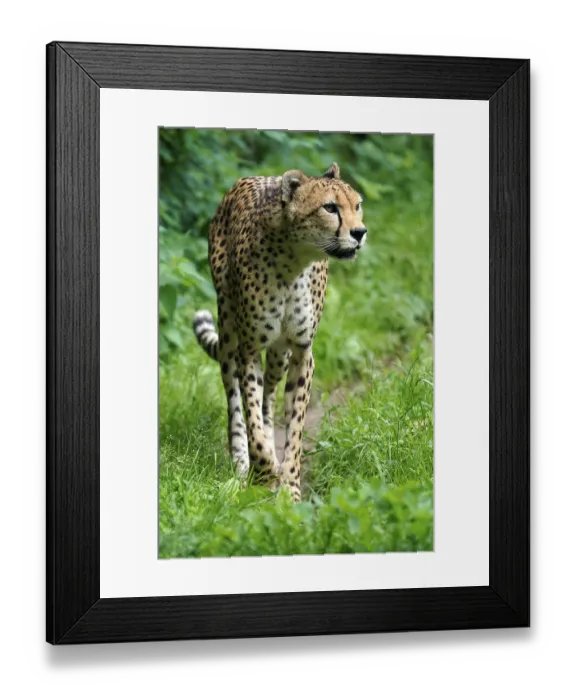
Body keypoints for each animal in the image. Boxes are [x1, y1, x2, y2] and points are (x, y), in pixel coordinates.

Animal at [193, 162, 367, 502]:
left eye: (357, 206)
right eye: (330, 207)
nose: (360, 233)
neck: (293, 263)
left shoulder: (302, 351)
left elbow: (295, 427)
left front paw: (290, 488)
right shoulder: (248, 350)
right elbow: (251, 417)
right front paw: (264, 470)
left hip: (278, 355)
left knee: (269, 396)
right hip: (230, 333)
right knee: (235, 401)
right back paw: (242, 464)